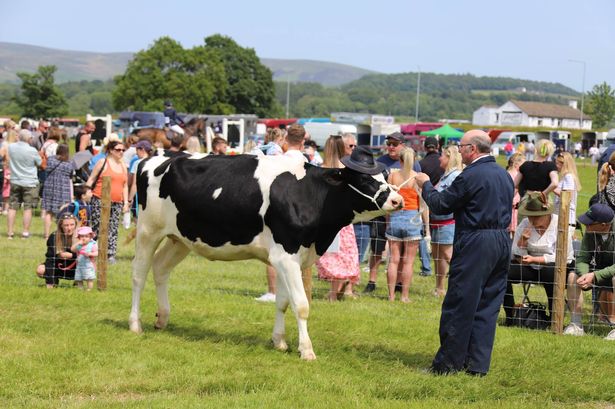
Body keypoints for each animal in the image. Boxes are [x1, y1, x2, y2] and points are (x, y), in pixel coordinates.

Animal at [129, 149, 404, 356]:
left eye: (384, 175)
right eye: (364, 180)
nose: (398, 200)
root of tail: (158, 157)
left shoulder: (287, 258)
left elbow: (283, 302)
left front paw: (279, 341)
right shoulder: (286, 256)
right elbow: (301, 305)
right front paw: (306, 350)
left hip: (180, 239)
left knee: (160, 269)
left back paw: (162, 318)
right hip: (148, 231)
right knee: (139, 274)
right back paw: (135, 324)